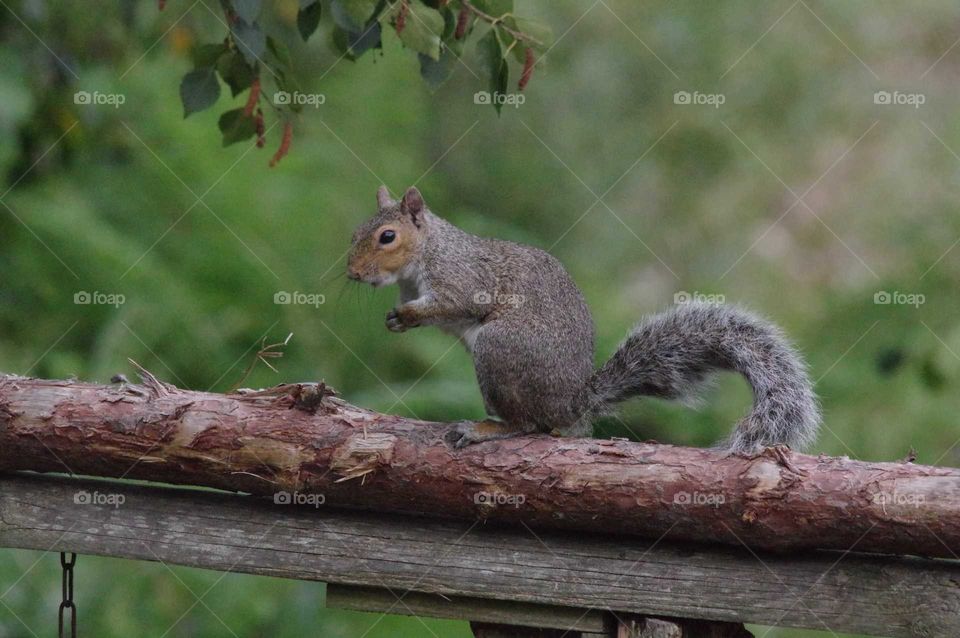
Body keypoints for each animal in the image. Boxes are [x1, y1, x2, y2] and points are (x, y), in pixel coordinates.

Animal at [347, 186, 820, 454]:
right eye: (354, 233)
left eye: (387, 237)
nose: (352, 273)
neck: (423, 259)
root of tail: (573, 402)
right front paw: (396, 320)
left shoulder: (462, 279)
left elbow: (454, 304)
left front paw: (407, 313)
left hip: (500, 349)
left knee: (527, 424)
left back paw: (485, 429)